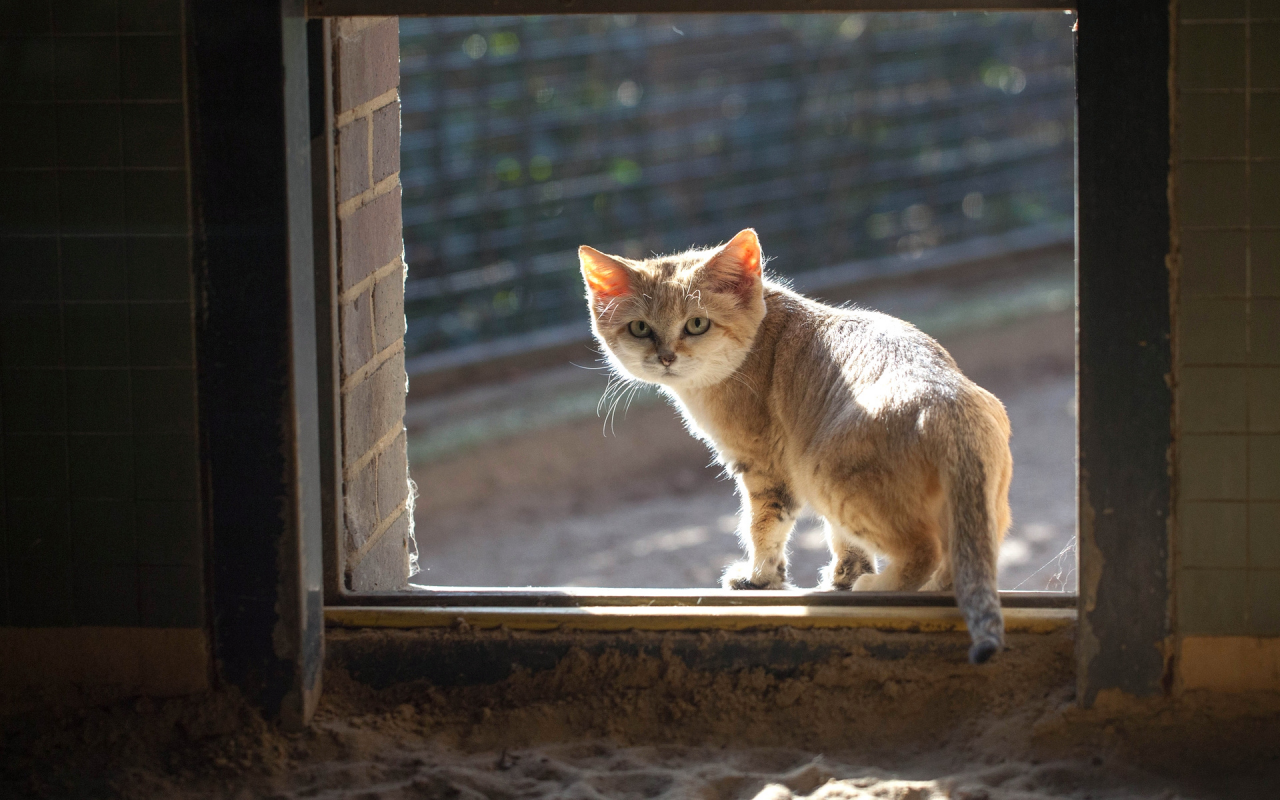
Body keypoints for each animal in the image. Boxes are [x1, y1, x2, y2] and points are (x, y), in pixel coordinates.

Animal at [581, 226, 1008, 660]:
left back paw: (878, 588)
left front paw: (759, 578)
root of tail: (947, 402)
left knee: (924, 551)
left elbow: (762, 526)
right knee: (958, 564)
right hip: (976, 510)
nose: (666, 357)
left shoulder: (765, 468)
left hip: (826, 479)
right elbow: (845, 546)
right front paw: (840, 580)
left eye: (697, 323)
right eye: (640, 329)